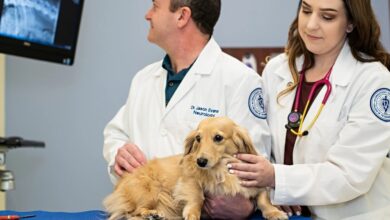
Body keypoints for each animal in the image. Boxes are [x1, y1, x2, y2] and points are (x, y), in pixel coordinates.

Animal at [103, 116, 286, 219]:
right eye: (198, 138)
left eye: (218, 137)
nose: (201, 161)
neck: (221, 168)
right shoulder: (189, 181)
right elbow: (198, 196)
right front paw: (192, 213)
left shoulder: (254, 183)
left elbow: (263, 199)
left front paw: (274, 212)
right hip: (152, 190)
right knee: (134, 211)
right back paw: (151, 214)